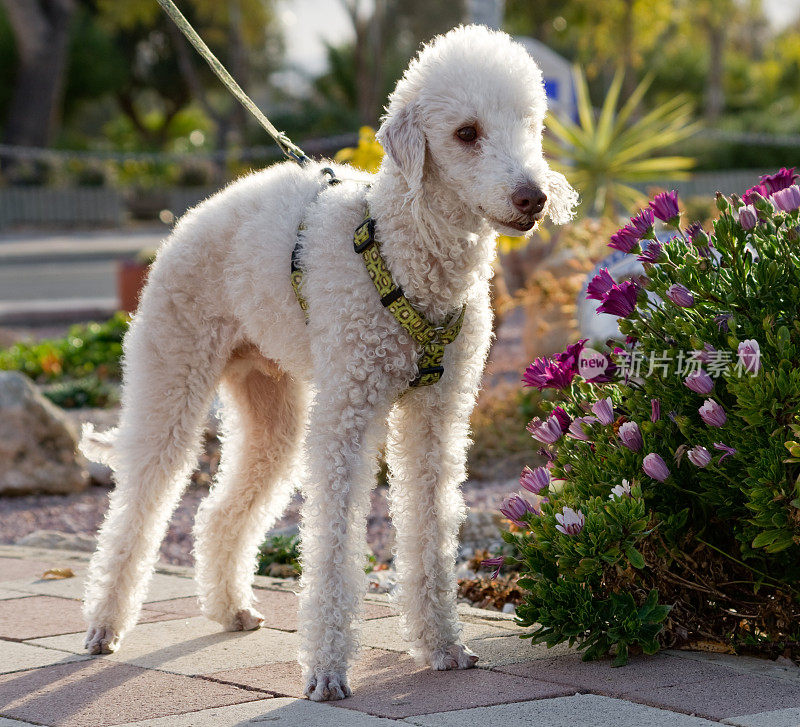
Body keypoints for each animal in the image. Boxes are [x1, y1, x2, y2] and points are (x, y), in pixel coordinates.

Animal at [79, 25, 576, 704]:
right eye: (466, 133)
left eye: (530, 125)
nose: (534, 197)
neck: (405, 251)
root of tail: (189, 220)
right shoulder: (348, 412)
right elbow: (335, 540)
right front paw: (327, 670)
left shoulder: (437, 414)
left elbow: (431, 527)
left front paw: (443, 646)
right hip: (172, 372)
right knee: (139, 505)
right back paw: (105, 625)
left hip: (270, 403)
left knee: (220, 511)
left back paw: (230, 607)